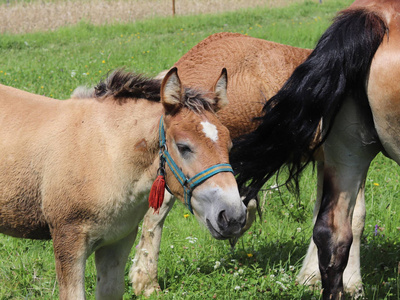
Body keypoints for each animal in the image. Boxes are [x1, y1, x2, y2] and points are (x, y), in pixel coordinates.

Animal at [0, 67, 245, 298]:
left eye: (230, 145)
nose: (233, 217)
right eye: (183, 146)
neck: (105, 153)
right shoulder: (68, 241)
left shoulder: (118, 241)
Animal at [130, 32, 366, 296]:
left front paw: (311, 277)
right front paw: (353, 283)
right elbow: (355, 218)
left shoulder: (329, 162)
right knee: (159, 208)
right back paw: (147, 281)